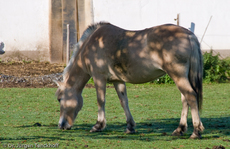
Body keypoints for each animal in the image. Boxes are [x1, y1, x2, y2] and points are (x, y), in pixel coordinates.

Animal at [54, 22, 204, 139]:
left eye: (60, 99)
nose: (61, 125)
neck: (93, 43)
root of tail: (189, 34)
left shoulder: (99, 78)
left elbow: (100, 101)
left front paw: (98, 126)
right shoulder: (118, 81)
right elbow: (123, 102)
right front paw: (130, 127)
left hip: (177, 75)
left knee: (190, 96)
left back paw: (196, 131)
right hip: (182, 76)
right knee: (185, 99)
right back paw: (180, 129)